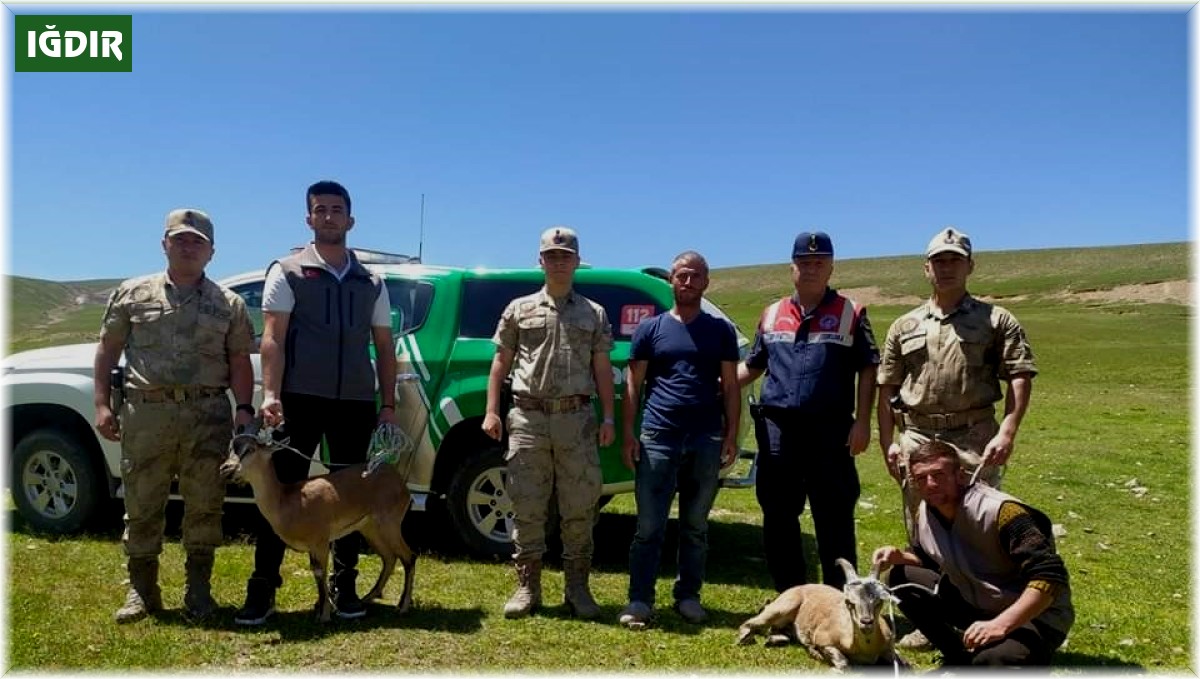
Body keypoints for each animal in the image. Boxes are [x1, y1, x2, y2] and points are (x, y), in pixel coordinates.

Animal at [223, 422, 420, 623]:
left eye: (250, 449)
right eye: (230, 447)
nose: (226, 469)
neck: (286, 502)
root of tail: (401, 483)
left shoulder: (321, 541)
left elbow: (320, 572)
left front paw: (324, 616)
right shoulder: (313, 546)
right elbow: (316, 572)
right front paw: (320, 610)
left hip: (390, 524)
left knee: (408, 556)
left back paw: (402, 607)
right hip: (370, 528)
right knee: (389, 557)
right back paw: (367, 598)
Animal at [734, 559, 902, 671]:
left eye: (879, 601)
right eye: (849, 601)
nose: (866, 622)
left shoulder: (890, 647)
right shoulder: (823, 639)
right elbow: (843, 663)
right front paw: (817, 654)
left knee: (775, 630)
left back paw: (775, 639)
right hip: (783, 607)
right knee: (751, 622)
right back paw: (745, 638)